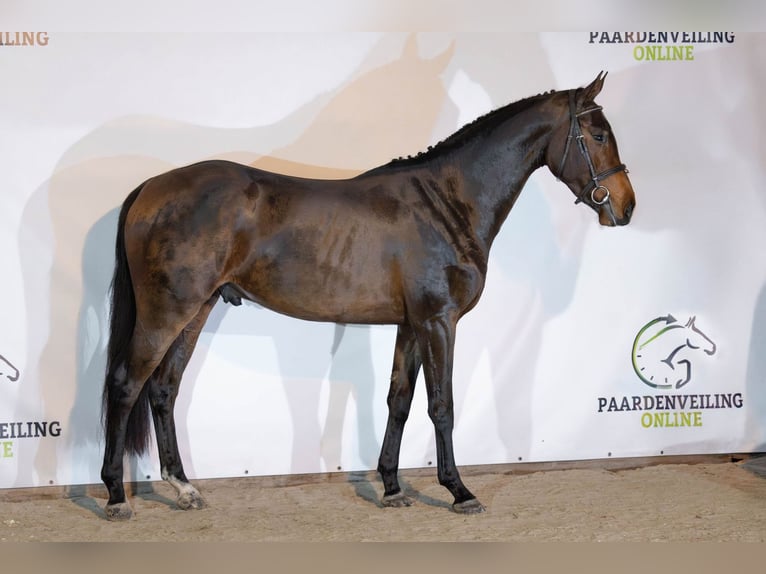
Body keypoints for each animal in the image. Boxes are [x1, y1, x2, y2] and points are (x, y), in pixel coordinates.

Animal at [100, 72, 636, 520]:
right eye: (598, 135)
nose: (626, 206)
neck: (445, 202)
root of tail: (151, 188)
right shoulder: (439, 321)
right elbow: (441, 405)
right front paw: (460, 491)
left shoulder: (411, 324)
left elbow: (399, 400)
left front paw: (393, 487)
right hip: (165, 312)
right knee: (126, 384)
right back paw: (115, 497)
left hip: (196, 310)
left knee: (164, 389)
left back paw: (183, 488)